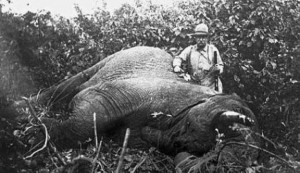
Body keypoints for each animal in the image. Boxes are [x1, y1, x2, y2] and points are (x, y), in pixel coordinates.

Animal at [22, 45, 258, 158]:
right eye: (188, 127)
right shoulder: (127, 93)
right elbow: (89, 115)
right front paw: (34, 134)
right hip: (114, 57)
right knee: (72, 83)